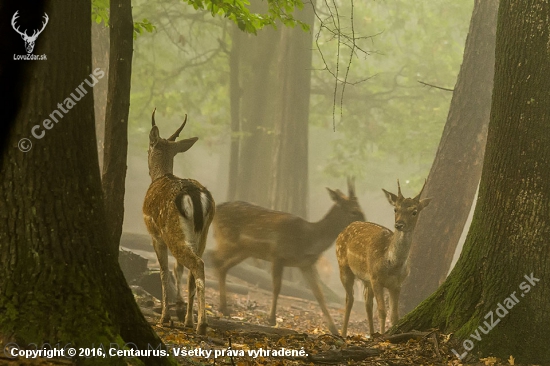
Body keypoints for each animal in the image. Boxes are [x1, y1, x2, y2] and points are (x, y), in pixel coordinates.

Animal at [142, 108, 216, 334]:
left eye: (148, 148)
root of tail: (195, 195)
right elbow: (178, 270)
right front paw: (182, 315)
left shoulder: (155, 234)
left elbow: (164, 272)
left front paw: (164, 318)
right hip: (203, 234)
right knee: (192, 270)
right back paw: (191, 321)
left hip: (173, 231)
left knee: (196, 264)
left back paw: (202, 324)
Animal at [210, 179, 366, 336]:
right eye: (354, 211)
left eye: (361, 209)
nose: (364, 224)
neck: (308, 240)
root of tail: (217, 209)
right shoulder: (278, 255)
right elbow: (276, 287)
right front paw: (271, 319)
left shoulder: (306, 264)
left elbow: (319, 295)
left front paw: (334, 330)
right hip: (227, 240)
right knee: (214, 258)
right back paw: (223, 307)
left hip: (245, 251)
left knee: (222, 266)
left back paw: (224, 308)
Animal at [338, 180, 434, 338]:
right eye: (395, 209)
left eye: (414, 211)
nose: (399, 224)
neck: (392, 265)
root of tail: (346, 227)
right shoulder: (376, 279)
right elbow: (382, 312)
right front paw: (383, 336)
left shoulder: (397, 284)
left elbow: (394, 315)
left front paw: (389, 334)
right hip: (343, 265)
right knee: (349, 298)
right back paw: (343, 333)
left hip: (366, 279)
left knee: (367, 302)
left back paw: (371, 333)